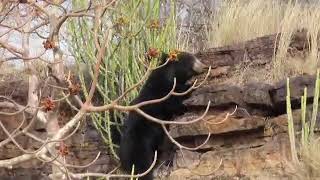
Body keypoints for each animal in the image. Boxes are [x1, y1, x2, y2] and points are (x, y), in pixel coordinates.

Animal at [118, 51, 208, 179]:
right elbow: (175, 102)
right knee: (143, 165)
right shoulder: (162, 95)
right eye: (192, 59)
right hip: (139, 146)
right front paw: (191, 87)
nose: (203, 66)